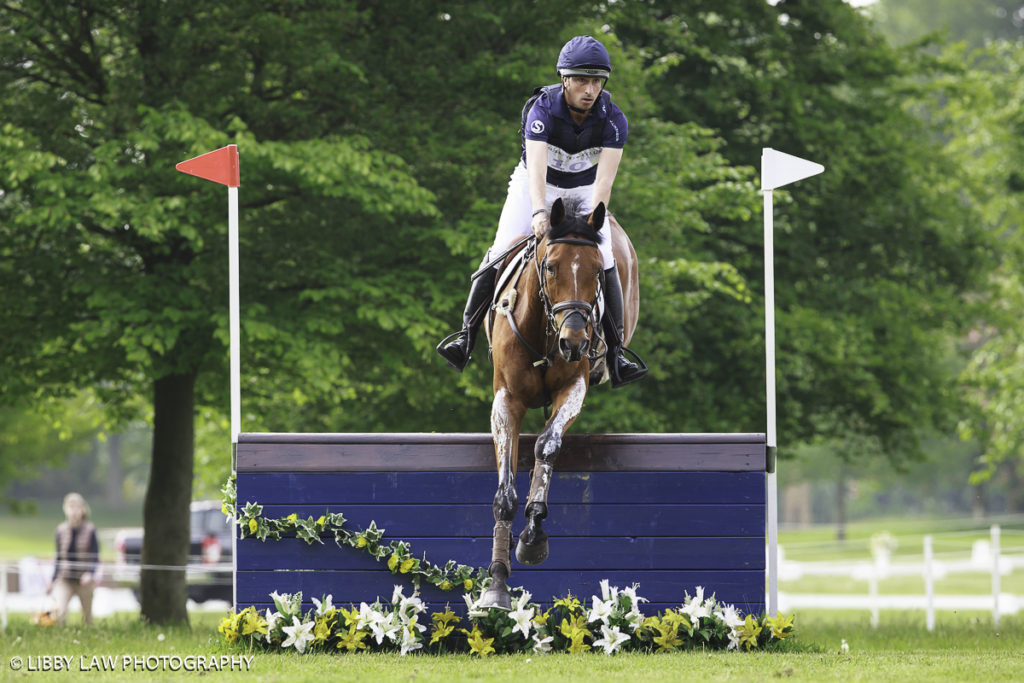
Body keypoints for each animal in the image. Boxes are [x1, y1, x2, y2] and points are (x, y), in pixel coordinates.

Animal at [475, 196, 634, 610]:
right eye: (550, 267)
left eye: (597, 274)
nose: (574, 342)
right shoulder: (506, 400)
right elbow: (505, 492)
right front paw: (497, 583)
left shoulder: (573, 388)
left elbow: (546, 446)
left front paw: (533, 536)